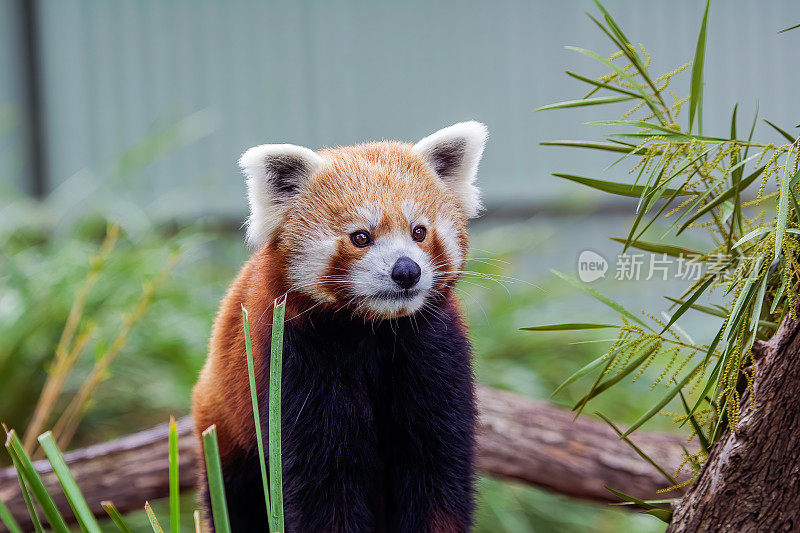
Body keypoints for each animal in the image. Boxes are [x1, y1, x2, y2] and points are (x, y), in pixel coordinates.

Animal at [194, 121, 488, 532]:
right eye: (361, 237)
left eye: (419, 232)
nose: (406, 271)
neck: (373, 332)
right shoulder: (294, 364)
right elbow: (323, 486)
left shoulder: (435, 357)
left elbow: (436, 475)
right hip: (227, 432)